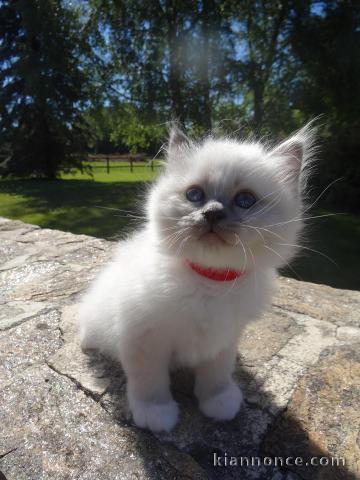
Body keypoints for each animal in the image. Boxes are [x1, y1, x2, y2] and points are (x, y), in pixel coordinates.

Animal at [78, 123, 316, 432]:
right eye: (194, 195)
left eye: (245, 200)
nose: (212, 213)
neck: (209, 281)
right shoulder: (144, 337)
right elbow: (149, 382)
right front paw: (156, 415)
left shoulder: (224, 338)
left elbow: (217, 375)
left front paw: (219, 403)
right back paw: (88, 342)